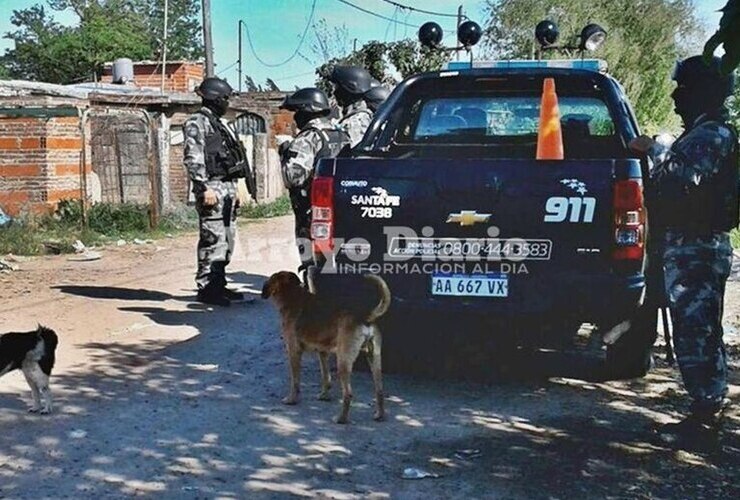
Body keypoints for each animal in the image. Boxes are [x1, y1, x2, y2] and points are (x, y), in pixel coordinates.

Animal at [264, 272, 394, 424]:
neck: (293, 295)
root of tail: (365, 317)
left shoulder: (293, 352)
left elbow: (295, 381)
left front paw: (292, 399)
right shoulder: (323, 352)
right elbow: (326, 377)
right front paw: (324, 396)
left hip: (343, 362)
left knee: (348, 394)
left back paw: (341, 418)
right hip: (374, 359)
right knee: (380, 390)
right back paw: (379, 415)